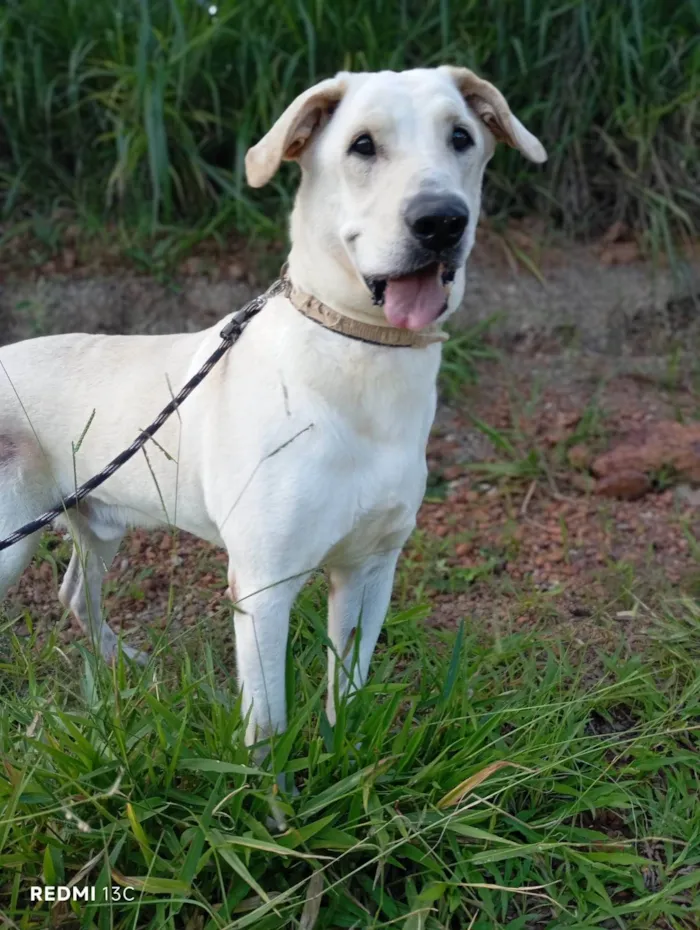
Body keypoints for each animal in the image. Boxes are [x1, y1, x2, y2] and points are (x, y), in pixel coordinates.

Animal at [0, 65, 548, 748]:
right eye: (362, 145)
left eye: (462, 137)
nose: (441, 221)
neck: (359, 361)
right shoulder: (263, 586)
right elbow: (266, 724)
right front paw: (268, 778)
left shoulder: (372, 569)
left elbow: (349, 690)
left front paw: (346, 755)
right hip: (12, 544)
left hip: (98, 521)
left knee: (76, 591)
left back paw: (122, 664)